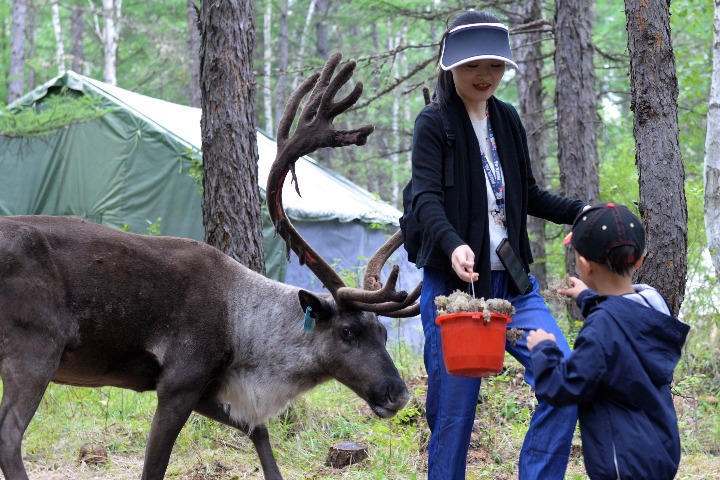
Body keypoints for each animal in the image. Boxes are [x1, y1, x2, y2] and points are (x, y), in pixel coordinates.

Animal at [0, 52, 420, 480]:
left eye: (384, 334)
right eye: (347, 332)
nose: (399, 394)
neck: (243, 327)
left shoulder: (208, 388)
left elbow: (258, 428)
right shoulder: (179, 382)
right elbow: (156, 466)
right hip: (35, 347)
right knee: (10, 437)